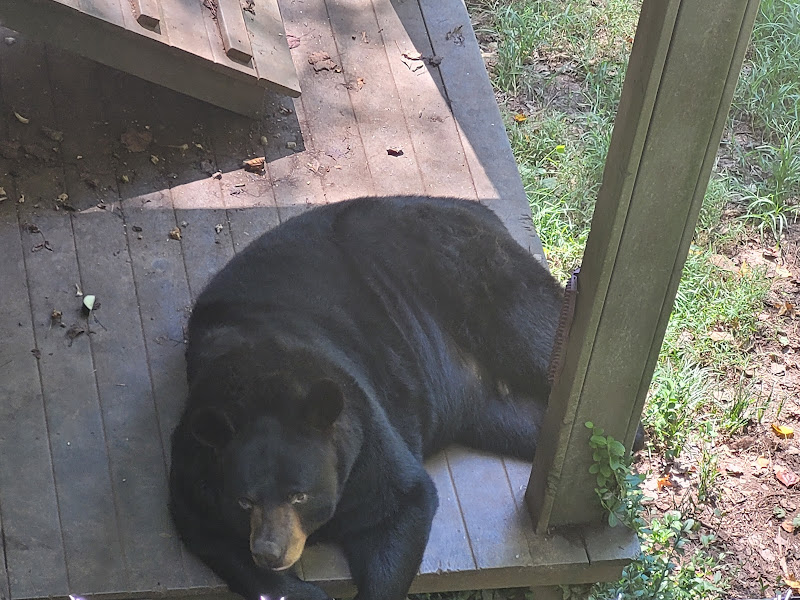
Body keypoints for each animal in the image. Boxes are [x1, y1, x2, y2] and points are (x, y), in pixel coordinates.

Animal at [168, 196, 565, 600]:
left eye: (299, 496)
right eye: (244, 501)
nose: (269, 551)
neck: (263, 386)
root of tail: (471, 207)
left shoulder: (363, 435)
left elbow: (403, 499)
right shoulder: (194, 468)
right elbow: (210, 536)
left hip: (475, 274)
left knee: (538, 329)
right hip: (488, 408)